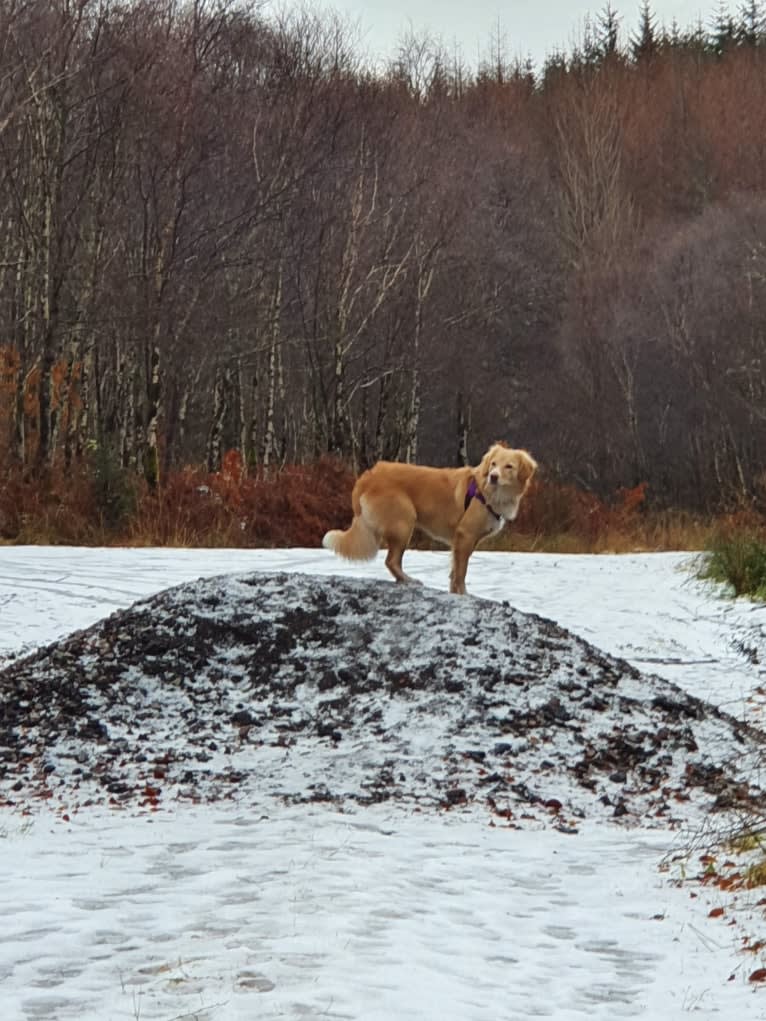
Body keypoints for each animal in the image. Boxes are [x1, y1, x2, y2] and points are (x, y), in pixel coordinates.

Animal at [320, 441, 535, 596]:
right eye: (493, 464)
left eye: (509, 466)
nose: (493, 476)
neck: (487, 492)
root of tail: (368, 476)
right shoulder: (465, 535)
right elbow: (461, 572)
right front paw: (463, 594)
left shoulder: (465, 541)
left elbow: (454, 571)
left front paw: (453, 592)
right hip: (404, 522)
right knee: (391, 561)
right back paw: (408, 580)